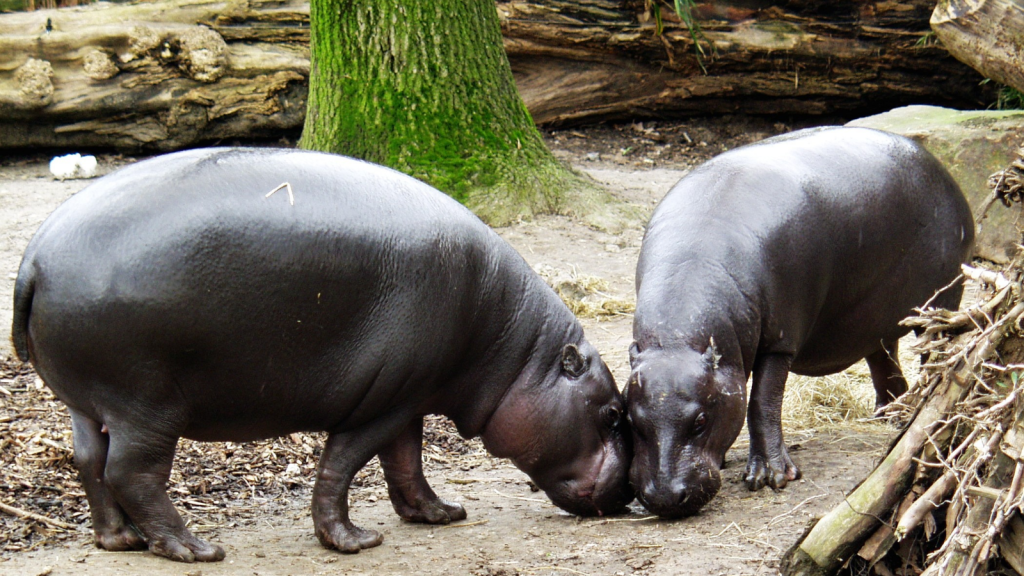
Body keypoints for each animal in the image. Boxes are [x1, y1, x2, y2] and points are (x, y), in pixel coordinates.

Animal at [9, 147, 630, 561]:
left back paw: (119, 540)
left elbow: (406, 463)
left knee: (89, 461)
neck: (517, 354)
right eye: (611, 412)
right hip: (146, 404)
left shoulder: (409, 395)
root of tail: (35, 257)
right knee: (131, 471)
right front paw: (354, 541)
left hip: (87, 400)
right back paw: (193, 548)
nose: (628, 491)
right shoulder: (380, 402)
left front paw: (440, 515)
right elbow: (343, 465)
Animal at [626, 125, 970, 516]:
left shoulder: (779, 341)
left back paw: (920, 411)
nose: (664, 497)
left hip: (940, 303)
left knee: (934, 355)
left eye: (699, 420)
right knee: (885, 359)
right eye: (630, 418)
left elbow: (761, 401)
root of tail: (941, 168)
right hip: (875, 318)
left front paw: (771, 477)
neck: (677, 342)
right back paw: (893, 415)